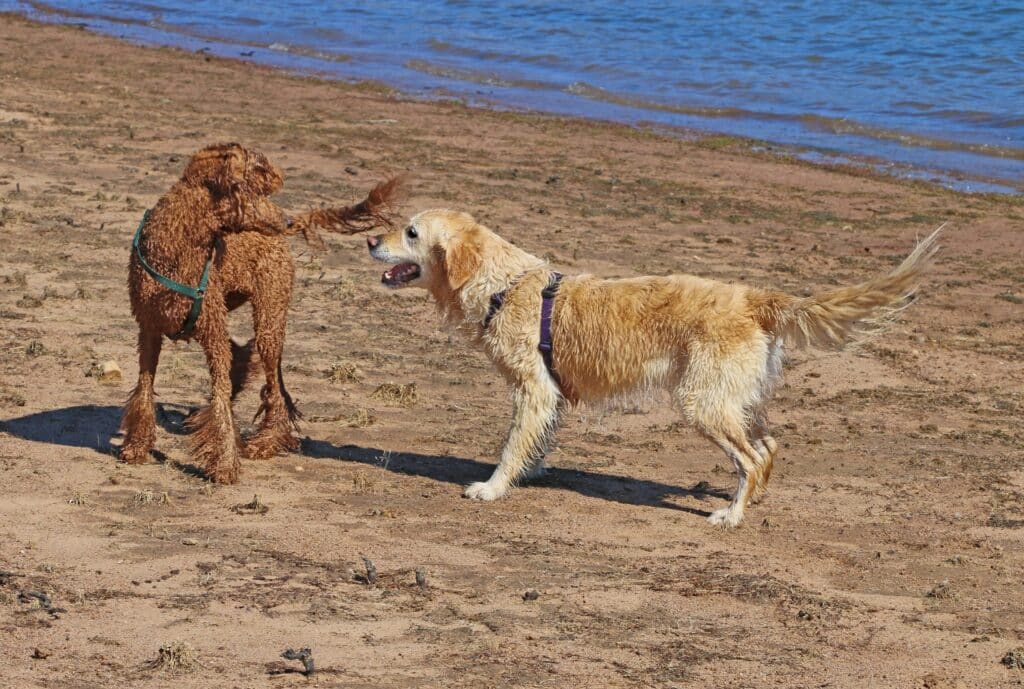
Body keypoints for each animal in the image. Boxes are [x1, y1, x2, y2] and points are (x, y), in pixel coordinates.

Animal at [120, 142, 403, 481]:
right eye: (247, 190)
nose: (287, 219)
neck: (179, 246)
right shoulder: (149, 330)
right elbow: (145, 388)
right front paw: (137, 446)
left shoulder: (212, 333)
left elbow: (221, 398)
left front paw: (225, 463)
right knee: (243, 358)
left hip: (269, 316)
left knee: (274, 388)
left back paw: (266, 442)